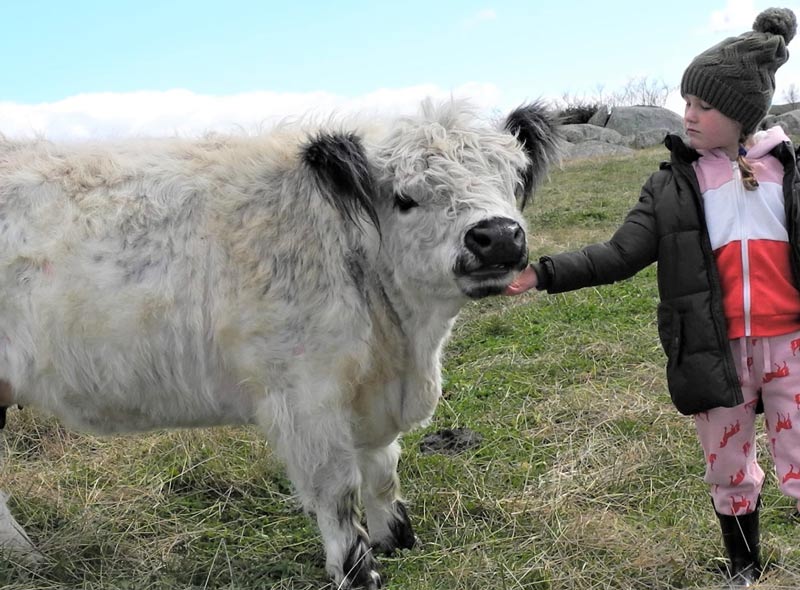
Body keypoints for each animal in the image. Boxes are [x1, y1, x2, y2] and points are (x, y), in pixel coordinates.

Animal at [0, 99, 564, 588]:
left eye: (513, 180)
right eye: (405, 198)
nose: (498, 236)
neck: (406, 345)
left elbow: (383, 469)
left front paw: (397, 537)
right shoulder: (306, 395)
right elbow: (337, 492)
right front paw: (357, 572)